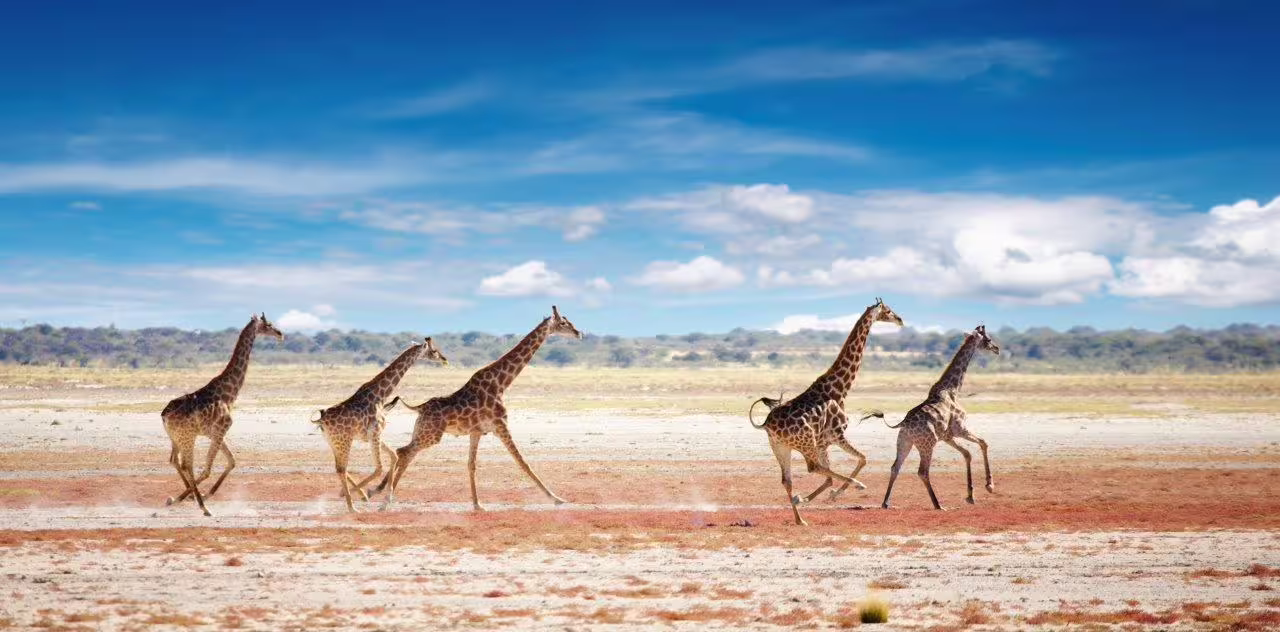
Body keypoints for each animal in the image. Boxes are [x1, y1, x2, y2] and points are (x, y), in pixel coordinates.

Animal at [160, 313, 283, 516]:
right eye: (268, 324)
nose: (280, 334)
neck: (228, 394)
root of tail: (164, 415)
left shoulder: (215, 433)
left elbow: (232, 461)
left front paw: (199, 495)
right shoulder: (220, 430)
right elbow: (208, 469)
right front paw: (198, 499)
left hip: (175, 438)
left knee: (174, 460)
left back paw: (185, 498)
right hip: (188, 437)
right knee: (187, 465)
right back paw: (202, 507)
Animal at [312, 337, 448, 513]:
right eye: (434, 351)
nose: (444, 359)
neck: (380, 396)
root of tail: (321, 420)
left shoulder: (374, 435)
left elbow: (394, 455)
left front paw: (385, 498)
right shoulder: (375, 432)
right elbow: (379, 468)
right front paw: (367, 494)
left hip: (333, 442)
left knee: (339, 467)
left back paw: (354, 497)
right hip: (344, 441)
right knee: (342, 468)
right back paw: (352, 506)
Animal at [372, 306, 583, 511]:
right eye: (564, 323)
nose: (579, 333)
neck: (501, 384)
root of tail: (419, 407)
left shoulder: (477, 432)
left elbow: (471, 464)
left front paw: (477, 504)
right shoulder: (501, 425)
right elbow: (523, 462)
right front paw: (556, 498)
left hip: (422, 432)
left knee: (405, 453)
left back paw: (380, 493)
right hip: (430, 435)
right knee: (403, 452)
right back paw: (384, 498)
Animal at [748, 298, 904, 526]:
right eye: (889, 310)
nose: (900, 320)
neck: (839, 389)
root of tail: (767, 424)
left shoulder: (824, 442)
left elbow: (834, 474)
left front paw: (812, 497)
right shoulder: (837, 434)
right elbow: (862, 458)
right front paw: (835, 494)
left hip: (781, 448)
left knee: (787, 480)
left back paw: (800, 519)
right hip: (806, 443)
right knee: (813, 468)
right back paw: (856, 485)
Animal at [880, 325, 1000, 510]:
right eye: (988, 339)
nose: (997, 349)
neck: (953, 389)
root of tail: (903, 424)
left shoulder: (947, 436)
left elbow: (967, 454)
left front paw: (971, 496)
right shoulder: (959, 428)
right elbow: (983, 443)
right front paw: (989, 486)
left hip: (904, 442)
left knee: (895, 467)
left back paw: (886, 502)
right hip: (927, 444)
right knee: (922, 472)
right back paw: (938, 505)